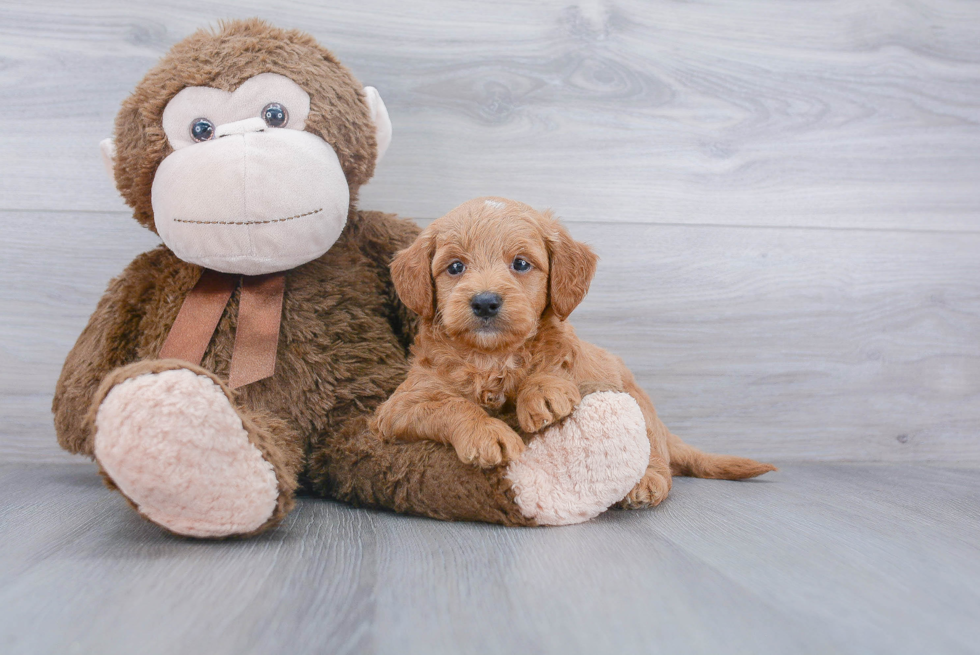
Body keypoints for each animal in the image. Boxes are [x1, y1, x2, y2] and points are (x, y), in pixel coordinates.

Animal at [376, 197, 772, 510]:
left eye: (521, 264)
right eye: (455, 267)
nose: (485, 302)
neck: (493, 356)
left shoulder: (573, 361)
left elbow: (557, 361)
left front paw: (542, 392)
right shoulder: (397, 408)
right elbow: (449, 405)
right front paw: (486, 433)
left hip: (637, 402)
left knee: (656, 454)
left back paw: (647, 482)